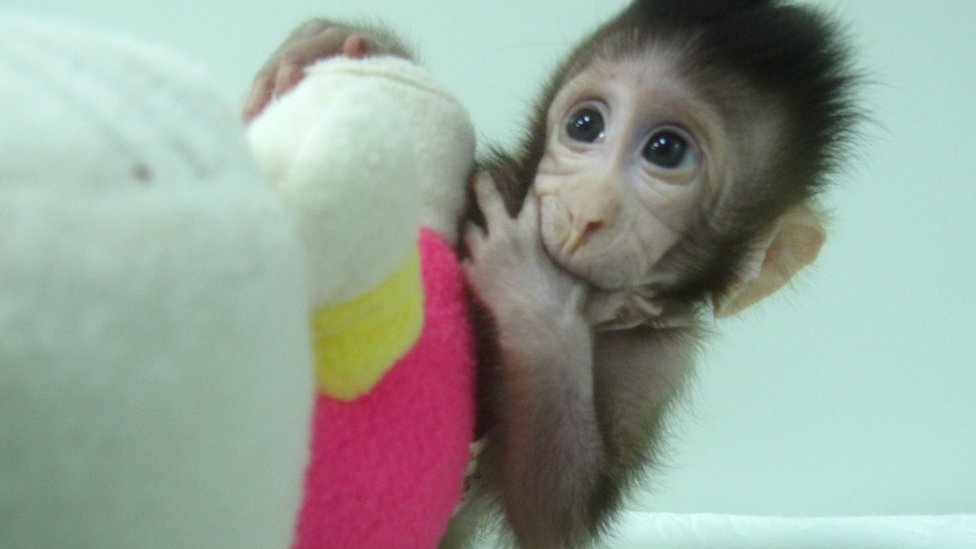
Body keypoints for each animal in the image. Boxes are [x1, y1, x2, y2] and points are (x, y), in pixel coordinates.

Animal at [243, 1, 860, 547]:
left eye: (666, 150)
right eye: (586, 125)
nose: (586, 211)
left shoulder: (661, 357)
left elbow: (553, 519)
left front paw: (533, 296)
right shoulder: (496, 184)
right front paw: (336, 41)